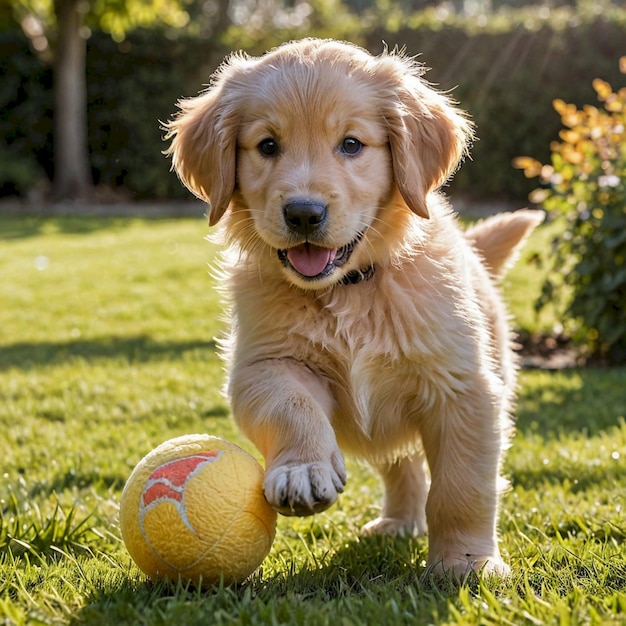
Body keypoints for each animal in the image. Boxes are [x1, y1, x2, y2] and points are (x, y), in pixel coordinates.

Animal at [165, 37, 540, 576]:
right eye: (267, 146)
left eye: (351, 144)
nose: (303, 213)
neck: (349, 289)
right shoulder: (264, 364)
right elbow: (291, 405)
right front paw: (302, 469)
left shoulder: (462, 387)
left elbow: (462, 486)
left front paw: (466, 561)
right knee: (400, 464)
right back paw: (398, 521)